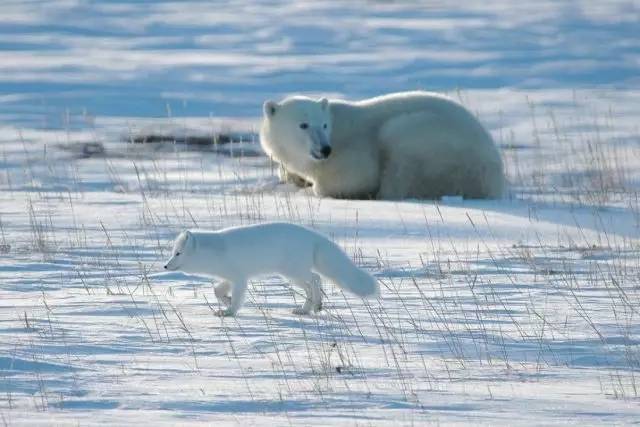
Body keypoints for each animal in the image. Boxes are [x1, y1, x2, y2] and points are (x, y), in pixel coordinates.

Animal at [162, 224, 380, 318]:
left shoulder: (240, 278)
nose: (165, 266)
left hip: (293, 272)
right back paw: (306, 309)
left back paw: (316, 305)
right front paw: (226, 301)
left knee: (316, 278)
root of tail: (312, 235)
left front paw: (230, 311)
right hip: (291, 275)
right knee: (311, 284)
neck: (217, 252)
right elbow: (217, 290)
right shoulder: (229, 278)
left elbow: (237, 297)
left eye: (178, 253)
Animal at [260, 90, 504, 201]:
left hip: (428, 139)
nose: (325, 149)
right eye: (303, 125)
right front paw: (293, 179)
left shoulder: (354, 150)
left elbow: (352, 177)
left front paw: (311, 188)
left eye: (324, 125)